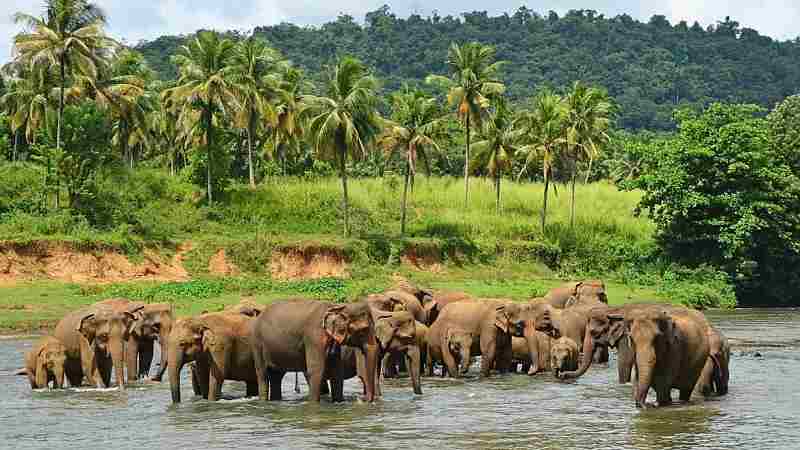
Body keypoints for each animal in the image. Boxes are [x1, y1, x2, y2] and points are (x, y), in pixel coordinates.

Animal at [250, 300, 378, 402]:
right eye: (363, 330)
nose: (363, 399)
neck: (336, 306)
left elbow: (336, 371)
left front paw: (339, 402)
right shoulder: (313, 337)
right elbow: (316, 370)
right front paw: (313, 404)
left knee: (276, 376)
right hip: (257, 344)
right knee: (263, 375)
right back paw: (264, 401)